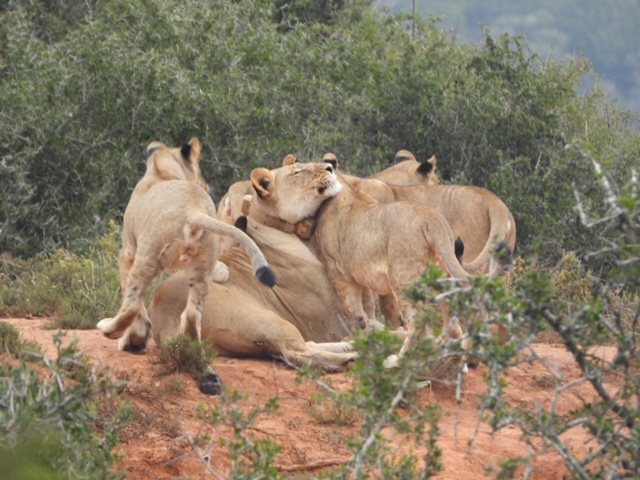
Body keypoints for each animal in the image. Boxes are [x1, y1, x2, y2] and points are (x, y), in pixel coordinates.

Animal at [96, 138, 276, 353]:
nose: (207, 185)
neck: (161, 171)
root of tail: (193, 209)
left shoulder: (128, 252)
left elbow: (134, 301)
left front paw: (135, 338)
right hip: (201, 268)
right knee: (192, 313)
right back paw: (191, 351)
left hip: (147, 255)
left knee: (132, 304)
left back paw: (109, 329)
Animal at [149, 159, 357, 388]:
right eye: (297, 172)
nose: (330, 166)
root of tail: (162, 312)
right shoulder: (329, 318)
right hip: (268, 320)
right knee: (296, 352)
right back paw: (351, 357)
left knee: (301, 347)